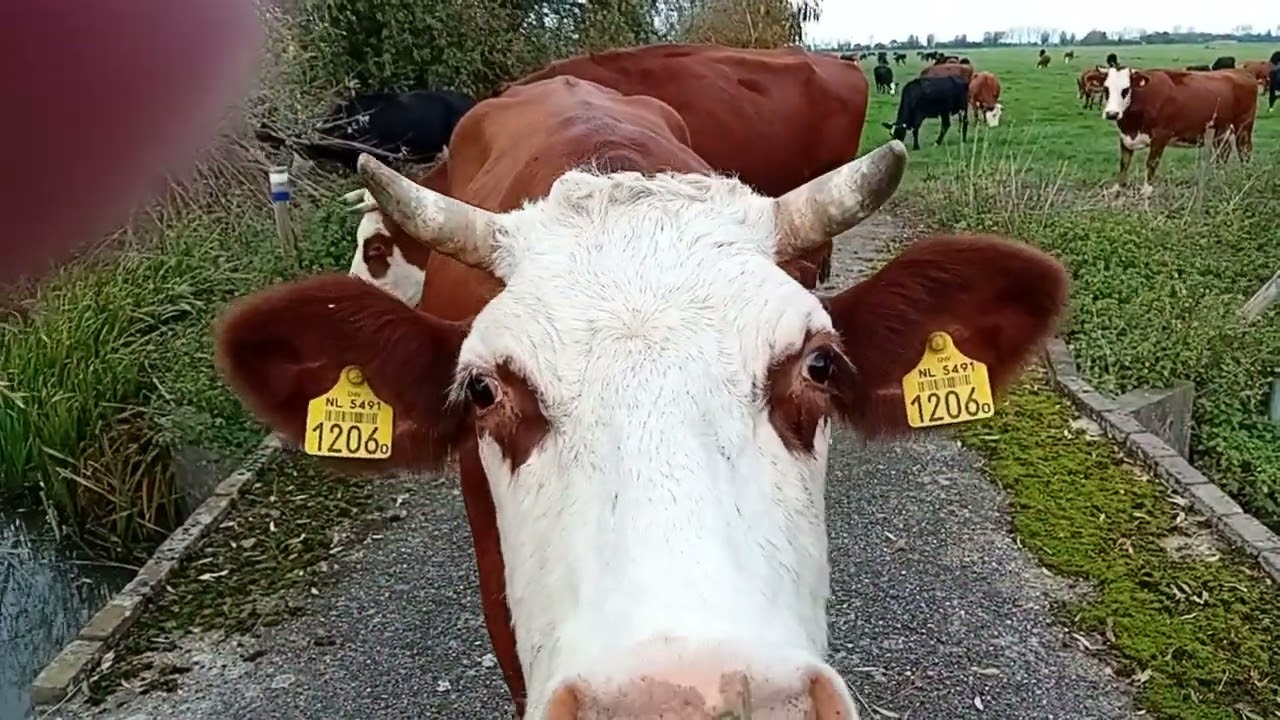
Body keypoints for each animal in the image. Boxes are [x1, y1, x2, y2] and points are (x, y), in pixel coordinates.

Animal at [1100, 67, 1256, 195]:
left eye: (1126, 89)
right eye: (1106, 89)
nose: (1112, 114)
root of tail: (1242, 73)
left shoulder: (1160, 135)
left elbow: (1151, 162)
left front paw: (1146, 190)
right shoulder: (1125, 137)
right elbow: (1124, 163)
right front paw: (1117, 187)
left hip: (1244, 127)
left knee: (1244, 151)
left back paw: (1245, 176)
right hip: (1221, 130)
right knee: (1223, 153)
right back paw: (1218, 177)